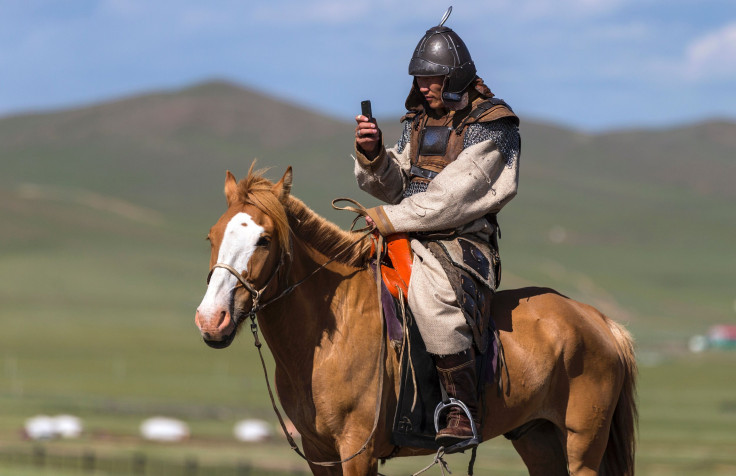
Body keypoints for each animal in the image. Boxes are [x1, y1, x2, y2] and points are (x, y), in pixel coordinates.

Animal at [196, 165, 640, 474]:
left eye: (264, 239)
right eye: (211, 236)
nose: (211, 319)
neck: (329, 335)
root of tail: (600, 321)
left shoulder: (356, 451)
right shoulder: (319, 452)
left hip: (583, 447)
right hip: (538, 438)